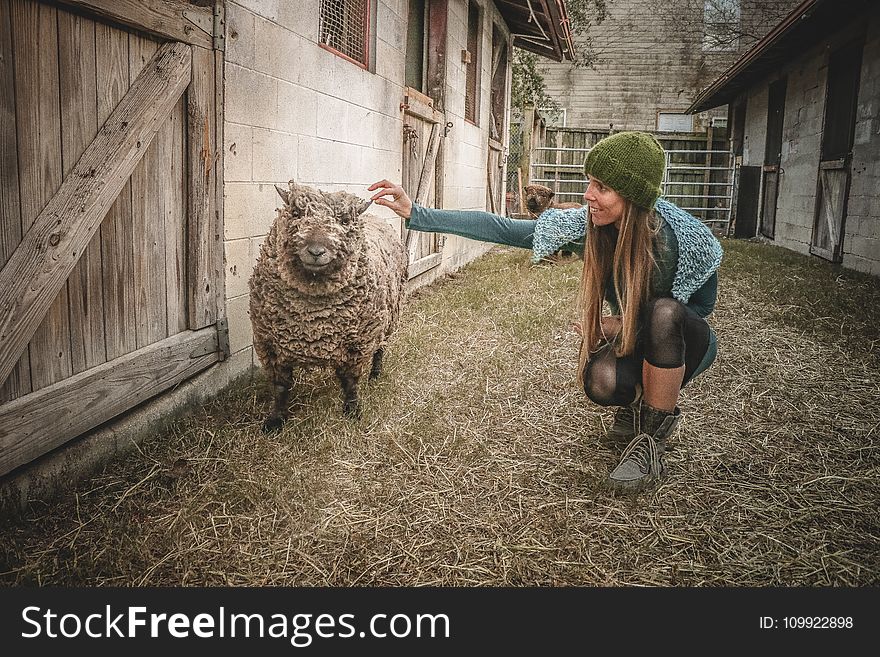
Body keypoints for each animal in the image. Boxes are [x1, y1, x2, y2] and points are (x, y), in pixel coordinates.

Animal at [249, 181, 410, 430]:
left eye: (344, 221)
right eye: (296, 214)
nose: (316, 251)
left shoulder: (358, 343)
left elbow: (351, 382)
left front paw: (352, 410)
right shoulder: (269, 345)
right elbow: (280, 387)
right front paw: (275, 420)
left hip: (389, 317)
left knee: (381, 348)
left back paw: (375, 374)